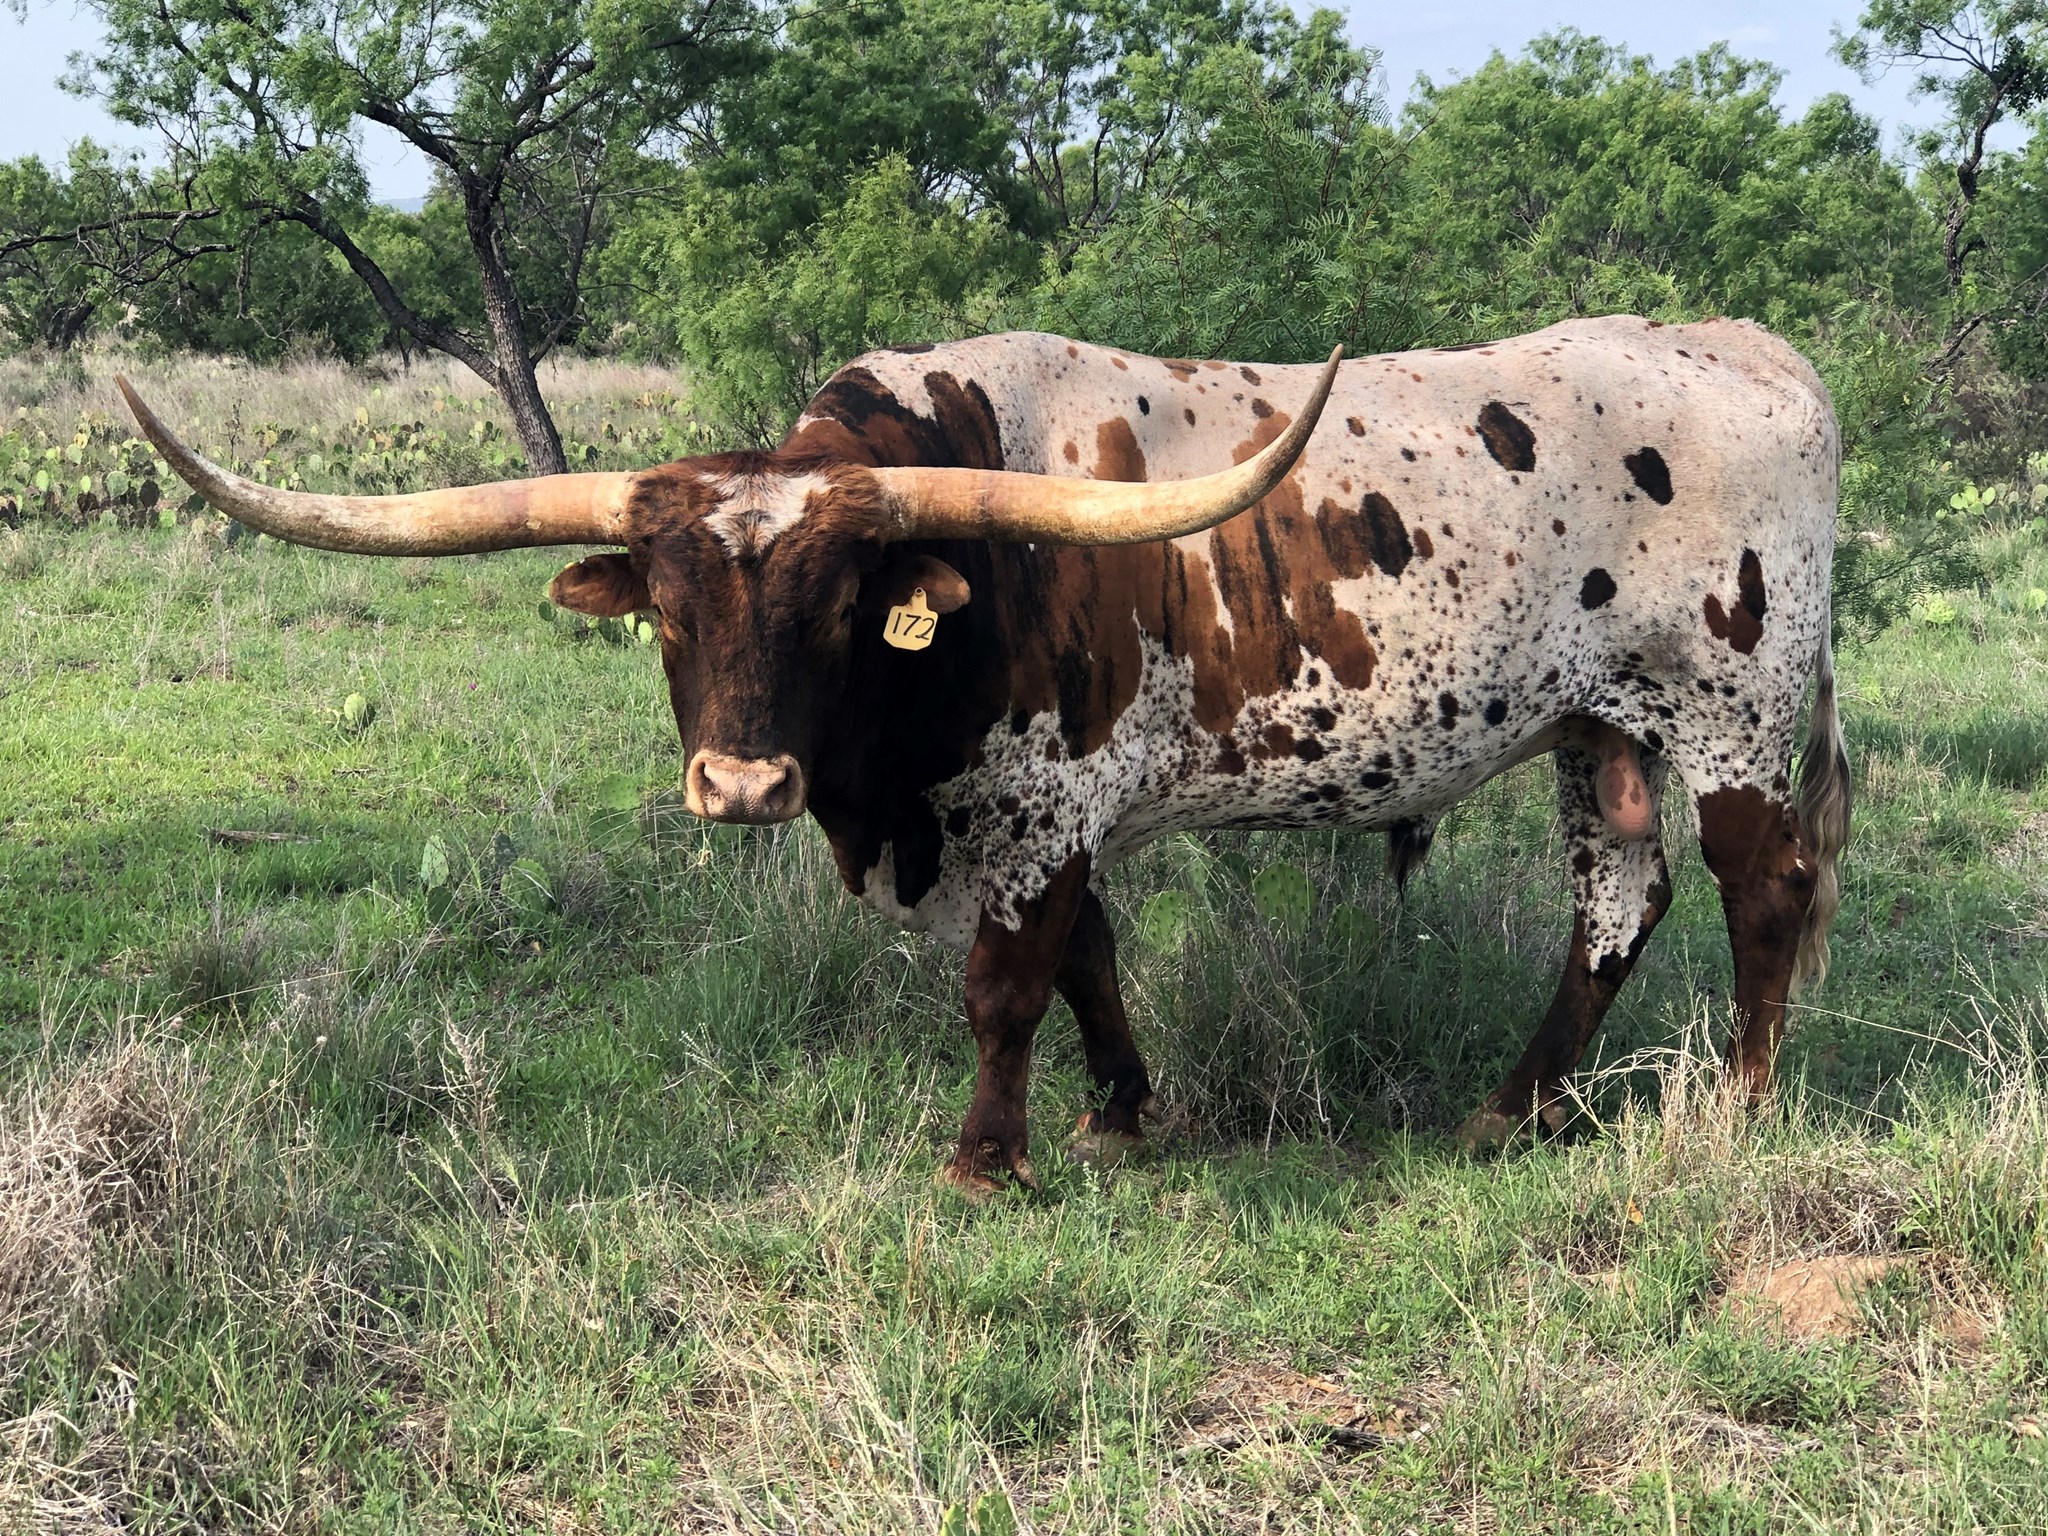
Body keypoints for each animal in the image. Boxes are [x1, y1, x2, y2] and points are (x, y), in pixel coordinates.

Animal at [119, 314, 1850, 1192]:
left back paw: (1747, 1103)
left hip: (1736, 710)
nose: (742, 788)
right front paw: (1122, 1112)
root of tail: (1757, 350)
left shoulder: (1041, 803)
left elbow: (1007, 983)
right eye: (667, 612)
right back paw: (1516, 1106)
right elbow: (1088, 963)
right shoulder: (1027, 820)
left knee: (1762, 891)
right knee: (1616, 901)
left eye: (840, 607)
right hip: (1597, 722)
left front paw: (985, 1155)